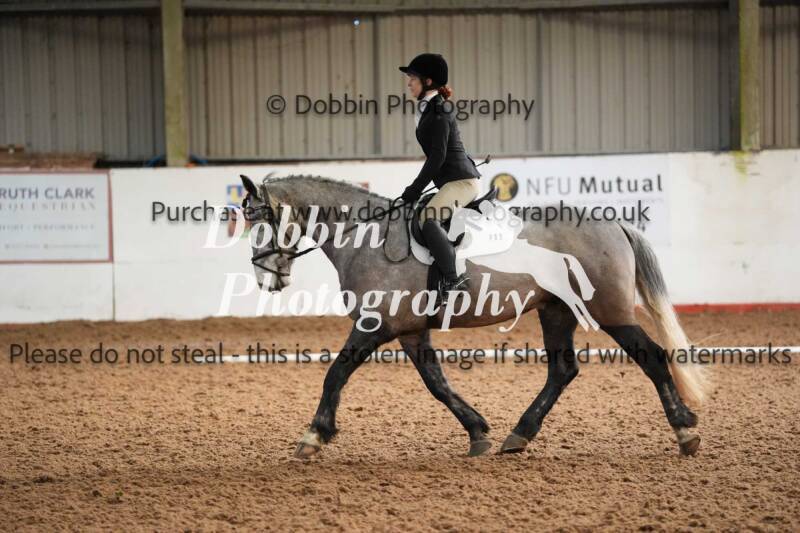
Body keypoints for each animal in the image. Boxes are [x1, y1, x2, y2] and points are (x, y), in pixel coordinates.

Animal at [238, 174, 709, 459]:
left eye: (261, 222)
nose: (264, 278)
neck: (367, 238)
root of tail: (613, 224)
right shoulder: (411, 331)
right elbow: (437, 384)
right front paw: (478, 432)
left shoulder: (375, 325)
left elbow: (335, 373)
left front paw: (313, 436)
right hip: (557, 310)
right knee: (562, 370)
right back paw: (518, 435)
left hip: (608, 310)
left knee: (651, 358)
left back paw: (685, 432)